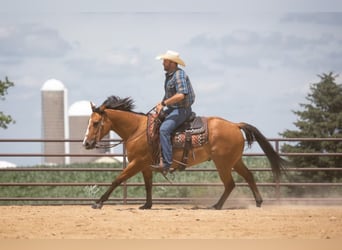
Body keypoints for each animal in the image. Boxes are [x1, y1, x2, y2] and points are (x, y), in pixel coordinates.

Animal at [84, 95, 288, 209]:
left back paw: (217, 206)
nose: (86, 143)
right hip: (235, 161)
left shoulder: (136, 163)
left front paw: (98, 202)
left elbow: (117, 180)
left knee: (230, 184)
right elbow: (148, 185)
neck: (137, 130)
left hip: (223, 163)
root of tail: (235, 124)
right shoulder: (145, 166)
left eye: (95, 123)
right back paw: (258, 201)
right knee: (249, 176)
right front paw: (147, 205)